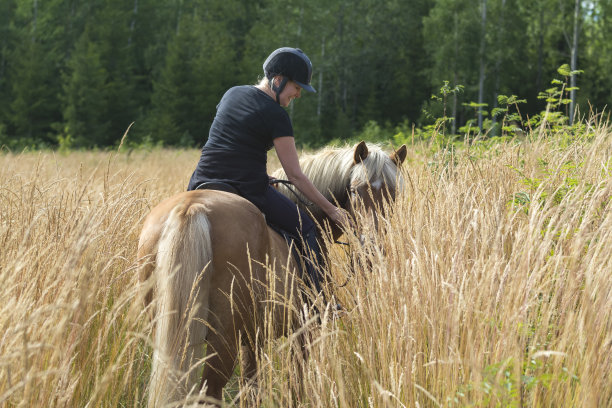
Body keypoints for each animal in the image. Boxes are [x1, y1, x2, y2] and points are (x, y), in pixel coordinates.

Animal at [139, 139, 406, 404]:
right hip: (222, 340)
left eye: (393, 193)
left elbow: (251, 389)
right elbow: (295, 386)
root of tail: (191, 208)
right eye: (355, 190)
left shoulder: (252, 338)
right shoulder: (302, 330)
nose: (371, 249)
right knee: (209, 392)